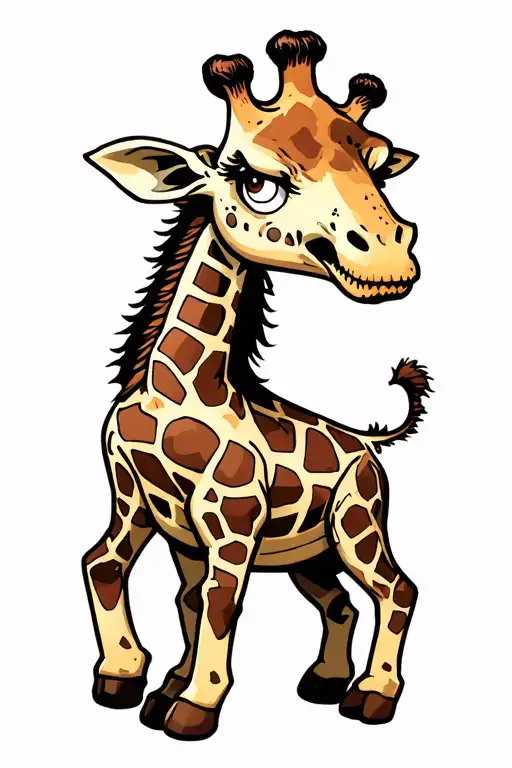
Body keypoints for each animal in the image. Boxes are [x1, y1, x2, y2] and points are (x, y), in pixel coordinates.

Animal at [83, 30, 431, 740]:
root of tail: (368, 443)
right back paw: (324, 684)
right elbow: (123, 573)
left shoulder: (231, 518)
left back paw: (372, 697)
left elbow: (219, 604)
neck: (177, 389)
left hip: (357, 522)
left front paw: (192, 708)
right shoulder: (143, 506)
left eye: (380, 168)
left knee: (396, 589)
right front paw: (135, 683)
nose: (388, 257)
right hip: (309, 552)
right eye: (254, 182)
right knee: (341, 603)